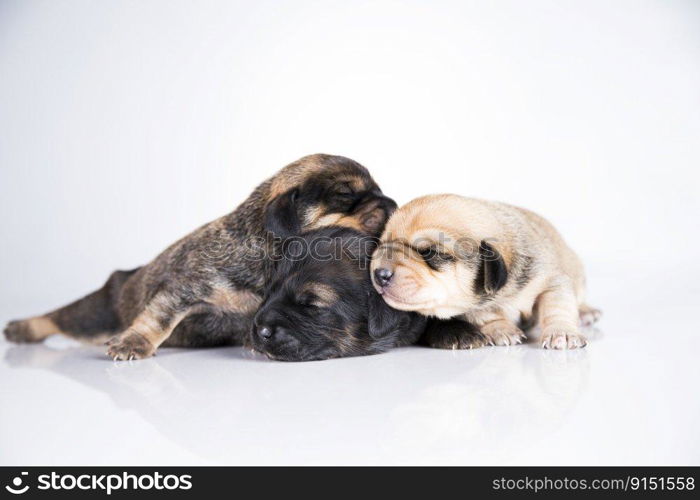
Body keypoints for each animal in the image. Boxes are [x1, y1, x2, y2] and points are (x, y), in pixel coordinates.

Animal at [2, 153, 396, 360]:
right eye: (346, 195)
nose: (391, 203)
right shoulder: (184, 289)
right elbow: (158, 318)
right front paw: (135, 342)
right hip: (96, 313)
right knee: (59, 318)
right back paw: (21, 329)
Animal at [370, 193, 600, 350]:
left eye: (430, 252)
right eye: (382, 245)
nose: (379, 274)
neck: (506, 292)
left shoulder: (552, 280)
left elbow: (557, 306)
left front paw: (563, 333)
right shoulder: (475, 305)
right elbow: (486, 314)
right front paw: (501, 329)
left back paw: (586, 312)